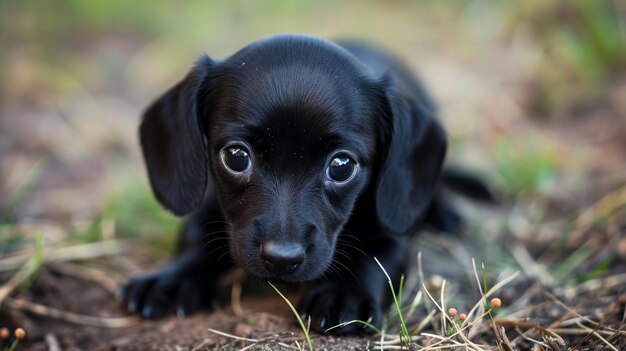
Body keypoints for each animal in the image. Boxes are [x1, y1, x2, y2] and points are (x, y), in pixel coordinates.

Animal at [122, 35, 460, 336]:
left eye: (342, 166)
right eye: (236, 157)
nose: (281, 258)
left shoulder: (388, 233)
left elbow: (376, 260)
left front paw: (344, 294)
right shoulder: (208, 207)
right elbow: (195, 241)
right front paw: (170, 280)